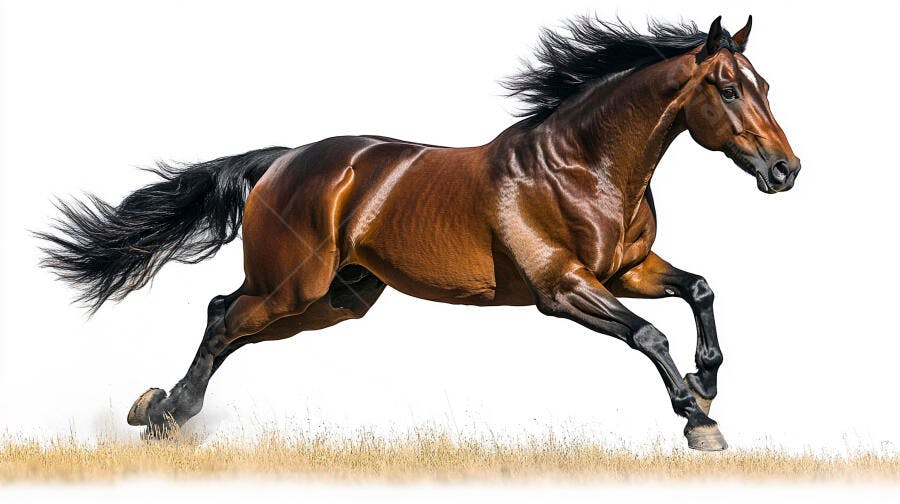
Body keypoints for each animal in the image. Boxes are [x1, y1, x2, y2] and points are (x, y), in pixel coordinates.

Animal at [37, 15, 799, 451]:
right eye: (729, 88)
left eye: (764, 85)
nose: (786, 170)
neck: (585, 165)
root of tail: (282, 160)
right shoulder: (561, 288)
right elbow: (649, 335)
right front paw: (699, 417)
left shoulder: (626, 270)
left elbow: (699, 289)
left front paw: (708, 380)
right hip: (293, 288)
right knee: (224, 315)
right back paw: (166, 415)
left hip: (334, 300)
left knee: (228, 318)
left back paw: (159, 411)